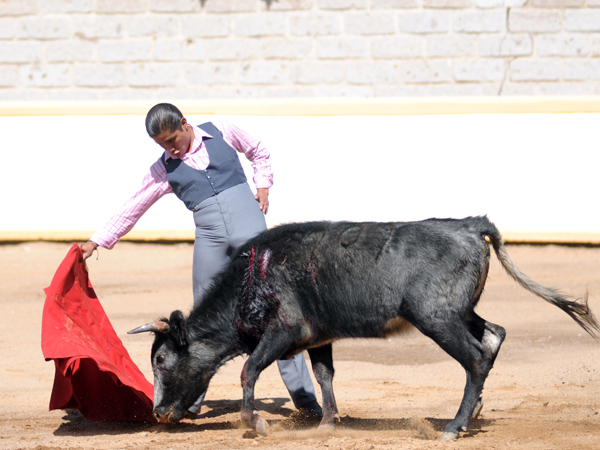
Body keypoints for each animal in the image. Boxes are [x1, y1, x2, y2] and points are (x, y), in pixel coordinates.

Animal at [129, 218, 596, 440]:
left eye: (161, 359)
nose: (159, 412)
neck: (252, 281)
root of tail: (468, 224)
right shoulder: (318, 339)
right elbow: (324, 375)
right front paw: (327, 423)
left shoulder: (282, 332)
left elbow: (249, 371)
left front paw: (256, 423)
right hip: (459, 313)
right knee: (494, 333)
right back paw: (474, 413)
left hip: (438, 319)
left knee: (477, 357)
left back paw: (453, 426)